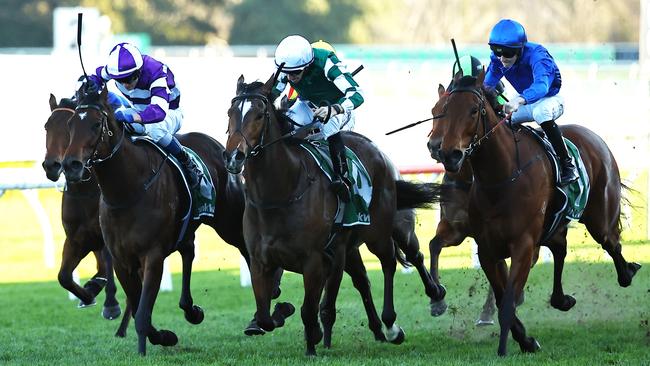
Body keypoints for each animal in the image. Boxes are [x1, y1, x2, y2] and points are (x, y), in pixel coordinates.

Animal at [42, 94, 120, 320]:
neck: (85, 191)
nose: (52, 165)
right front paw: (88, 294)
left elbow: (107, 268)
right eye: (46, 126)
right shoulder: (77, 238)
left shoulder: (107, 238)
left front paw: (110, 303)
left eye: (69, 128)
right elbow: (64, 277)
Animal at [58, 88, 251, 354]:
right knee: (188, 251)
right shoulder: (119, 259)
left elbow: (142, 313)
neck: (127, 191)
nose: (71, 165)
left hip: (229, 222)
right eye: (70, 124)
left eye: (97, 124)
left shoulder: (153, 255)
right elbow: (136, 306)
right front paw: (159, 336)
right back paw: (191, 310)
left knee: (247, 249)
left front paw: (158, 340)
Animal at [223, 75, 440, 358]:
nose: (233, 156)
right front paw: (280, 313)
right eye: (230, 113)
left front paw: (312, 339)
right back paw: (378, 329)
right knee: (363, 279)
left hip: (382, 231)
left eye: (259, 114)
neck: (281, 193)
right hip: (349, 246)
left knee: (397, 260)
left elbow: (309, 309)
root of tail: (375, 149)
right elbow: (264, 317)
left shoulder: (315, 259)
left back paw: (407, 314)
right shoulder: (262, 261)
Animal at [426, 71, 636, 354]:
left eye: (473, 110)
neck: (501, 176)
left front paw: (512, 343)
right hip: (553, 225)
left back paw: (628, 272)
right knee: (560, 248)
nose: (446, 152)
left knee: (611, 243)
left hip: (599, 216)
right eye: (439, 111)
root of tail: (593, 137)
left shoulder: (523, 244)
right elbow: (499, 292)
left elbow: (508, 297)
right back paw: (561, 299)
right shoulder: (483, 245)